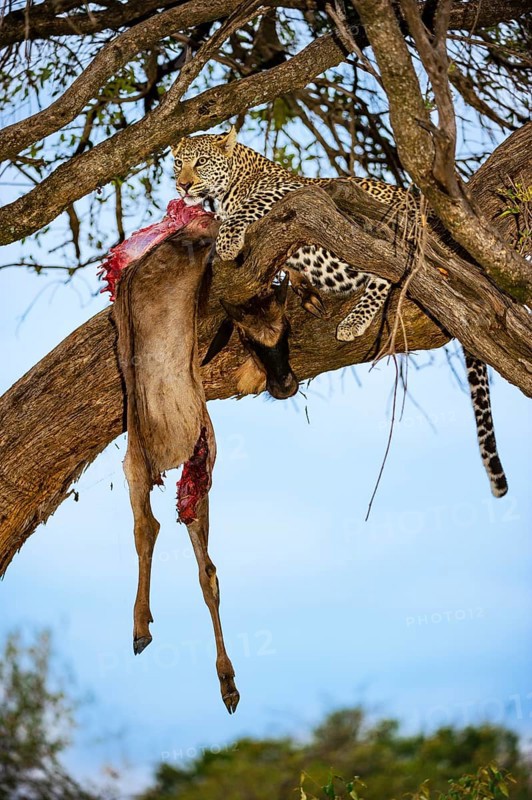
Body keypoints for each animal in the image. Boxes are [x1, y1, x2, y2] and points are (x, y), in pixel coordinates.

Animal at [171, 128, 508, 498]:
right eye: (178, 162)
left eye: (201, 162)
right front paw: (300, 286)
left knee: (388, 269)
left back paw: (353, 322)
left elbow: (247, 208)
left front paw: (228, 240)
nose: (182, 186)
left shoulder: (291, 191)